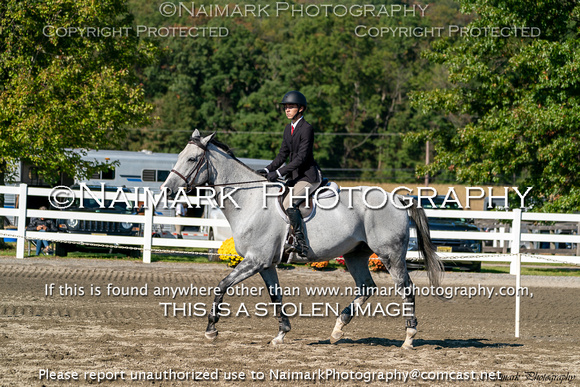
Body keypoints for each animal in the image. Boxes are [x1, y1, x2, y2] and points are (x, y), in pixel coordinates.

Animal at [161, 132, 442, 350]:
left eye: (192, 159)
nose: (167, 190)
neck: (250, 200)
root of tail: (397, 198)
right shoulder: (265, 264)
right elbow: (275, 296)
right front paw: (281, 333)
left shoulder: (254, 261)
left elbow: (222, 285)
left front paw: (211, 329)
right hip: (355, 254)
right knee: (366, 287)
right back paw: (337, 330)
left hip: (390, 254)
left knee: (405, 288)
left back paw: (408, 338)